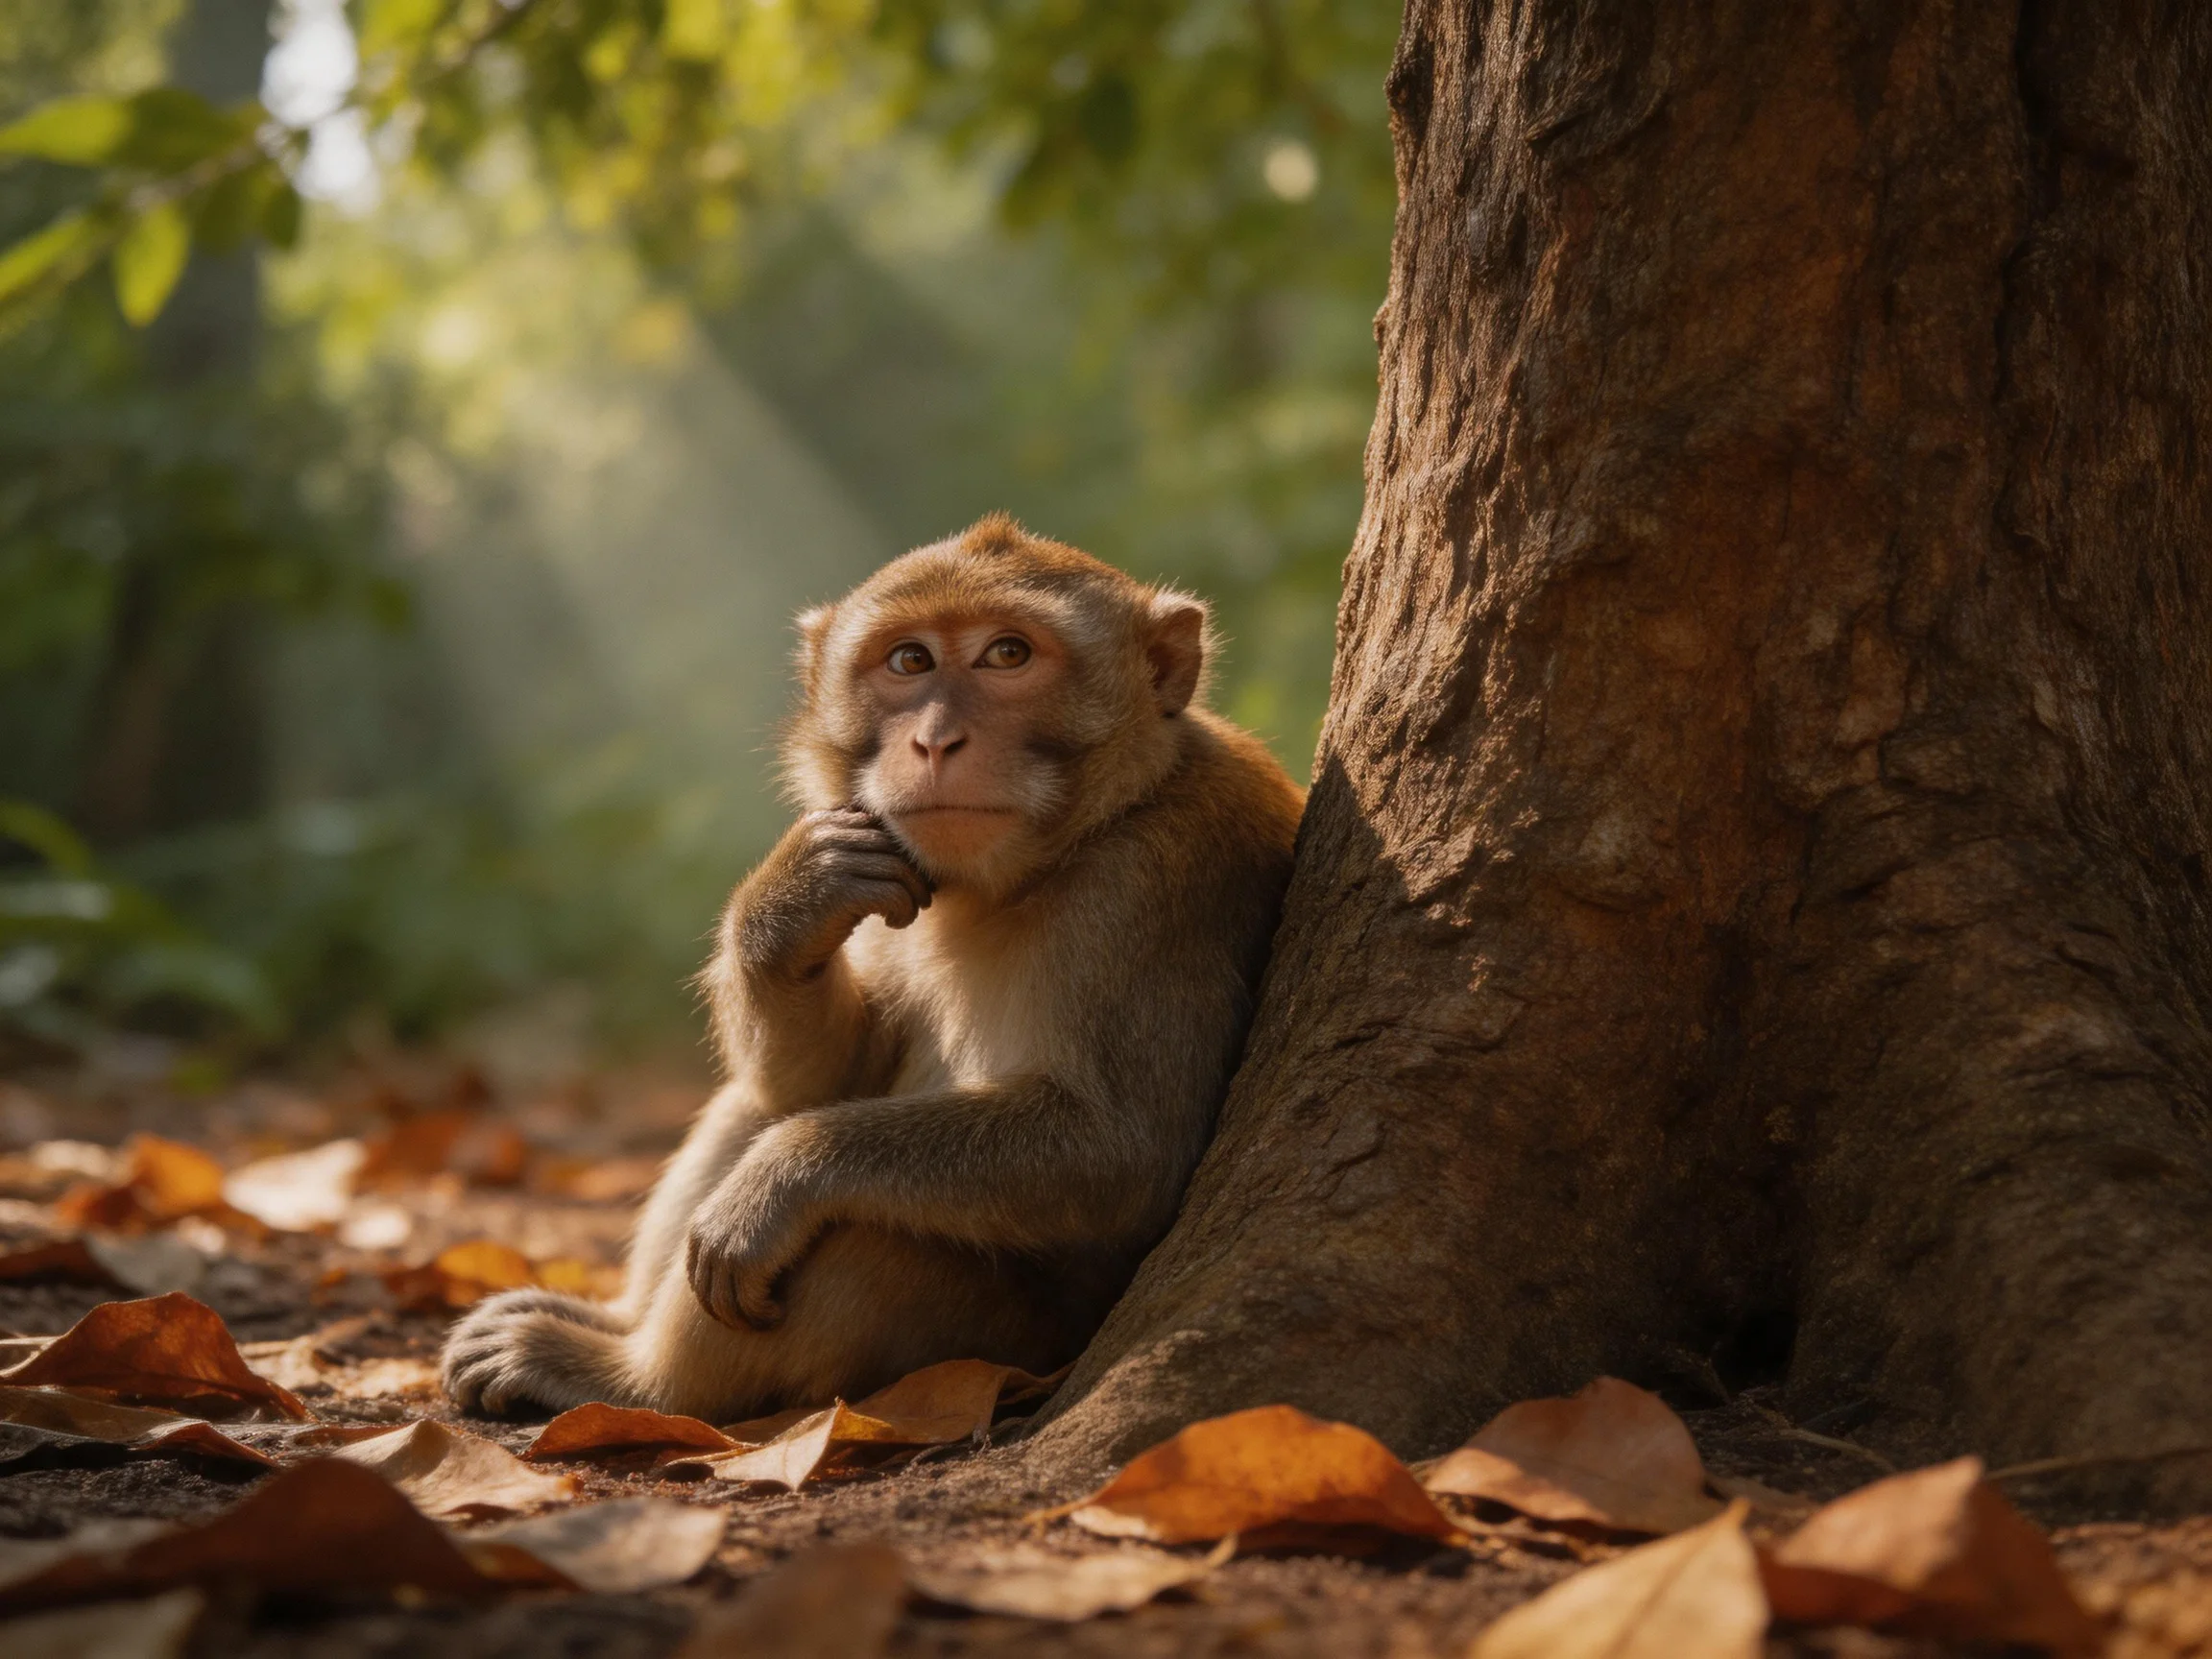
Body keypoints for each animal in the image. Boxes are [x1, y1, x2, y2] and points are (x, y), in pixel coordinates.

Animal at [441, 514, 1305, 1422]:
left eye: (1008, 654)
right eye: (910, 661)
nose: (934, 740)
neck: (1057, 852)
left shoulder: (1153, 884)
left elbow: (1124, 1148)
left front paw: (786, 1173)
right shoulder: (900, 869)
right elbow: (833, 1072)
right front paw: (789, 904)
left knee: (853, 1232)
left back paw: (623, 1378)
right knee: (758, 1101)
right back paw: (607, 1325)